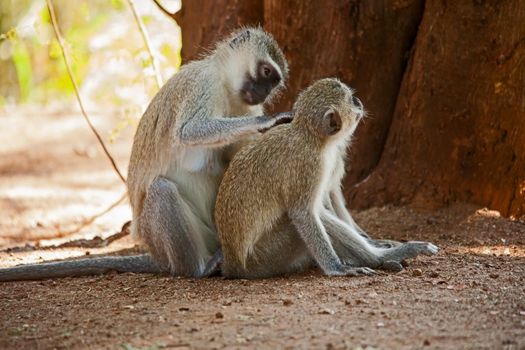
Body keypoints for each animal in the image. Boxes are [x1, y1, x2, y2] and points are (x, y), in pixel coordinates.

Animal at [0, 26, 288, 282]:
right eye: (265, 71)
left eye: (273, 81)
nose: (264, 92)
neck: (228, 89)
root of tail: (159, 256)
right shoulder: (202, 84)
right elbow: (188, 131)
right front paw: (268, 121)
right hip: (159, 236)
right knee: (161, 189)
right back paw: (199, 268)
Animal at [214, 78, 438, 278]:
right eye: (350, 99)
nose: (359, 101)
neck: (309, 136)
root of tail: (233, 266)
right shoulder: (310, 166)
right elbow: (303, 214)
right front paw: (337, 268)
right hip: (267, 257)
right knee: (307, 219)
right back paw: (381, 258)